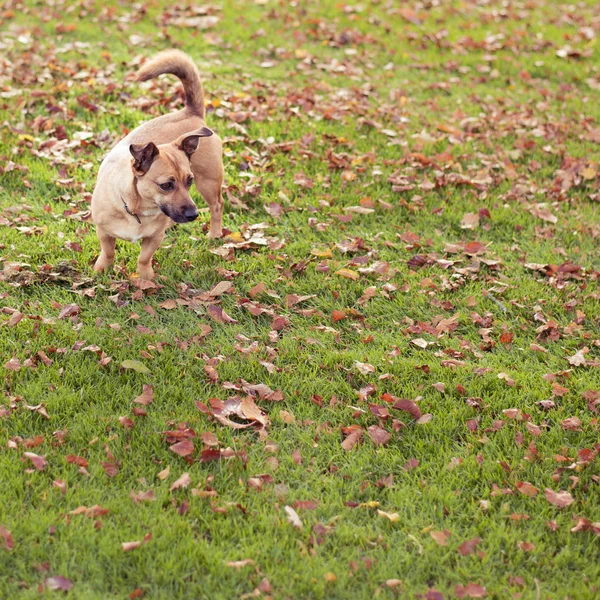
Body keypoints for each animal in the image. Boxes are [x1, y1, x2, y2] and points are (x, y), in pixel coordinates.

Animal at [91, 48, 225, 278]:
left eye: (189, 181)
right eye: (166, 185)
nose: (193, 215)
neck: (137, 208)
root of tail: (190, 112)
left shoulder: (154, 237)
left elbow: (144, 258)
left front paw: (145, 279)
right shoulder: (104, 232)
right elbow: (108, 252)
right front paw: (101, 270)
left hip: (208, 182)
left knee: (216, 206)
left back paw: (214, 234)